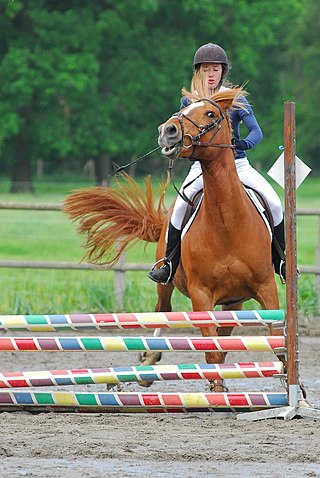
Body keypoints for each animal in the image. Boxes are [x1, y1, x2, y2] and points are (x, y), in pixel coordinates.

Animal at [63, 87, 282, 392]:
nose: (167, 131)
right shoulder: (201, 296)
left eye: (210, 114)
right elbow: (212, 350)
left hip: (234, 301)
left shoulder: (266, 288)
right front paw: (217, 390)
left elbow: (278, 343)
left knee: (225, 333)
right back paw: (148, 360)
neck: (227, 223)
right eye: (183, 110)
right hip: (165, 283)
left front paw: (298, 393)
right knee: (162, 310)